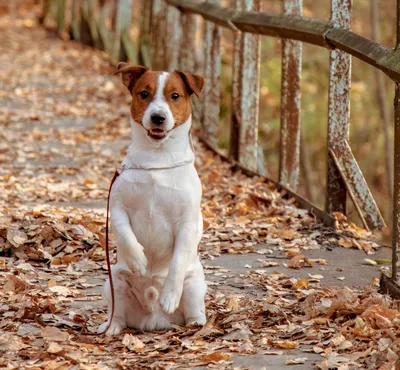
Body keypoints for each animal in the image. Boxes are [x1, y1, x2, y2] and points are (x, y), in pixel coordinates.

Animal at [97, 63, 208, 336]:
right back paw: (110, 326)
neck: (157, 160)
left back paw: (194, 321)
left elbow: (177, 262)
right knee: (118, 314)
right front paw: (138, 259)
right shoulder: (117, 206)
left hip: (195, 285)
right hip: (113, 283)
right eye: (144, 94)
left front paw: (169, 295)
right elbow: (125, 233)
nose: (158, 117)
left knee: (194, 310)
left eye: (175, 96)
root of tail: (152, 319)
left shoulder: (187, 222)